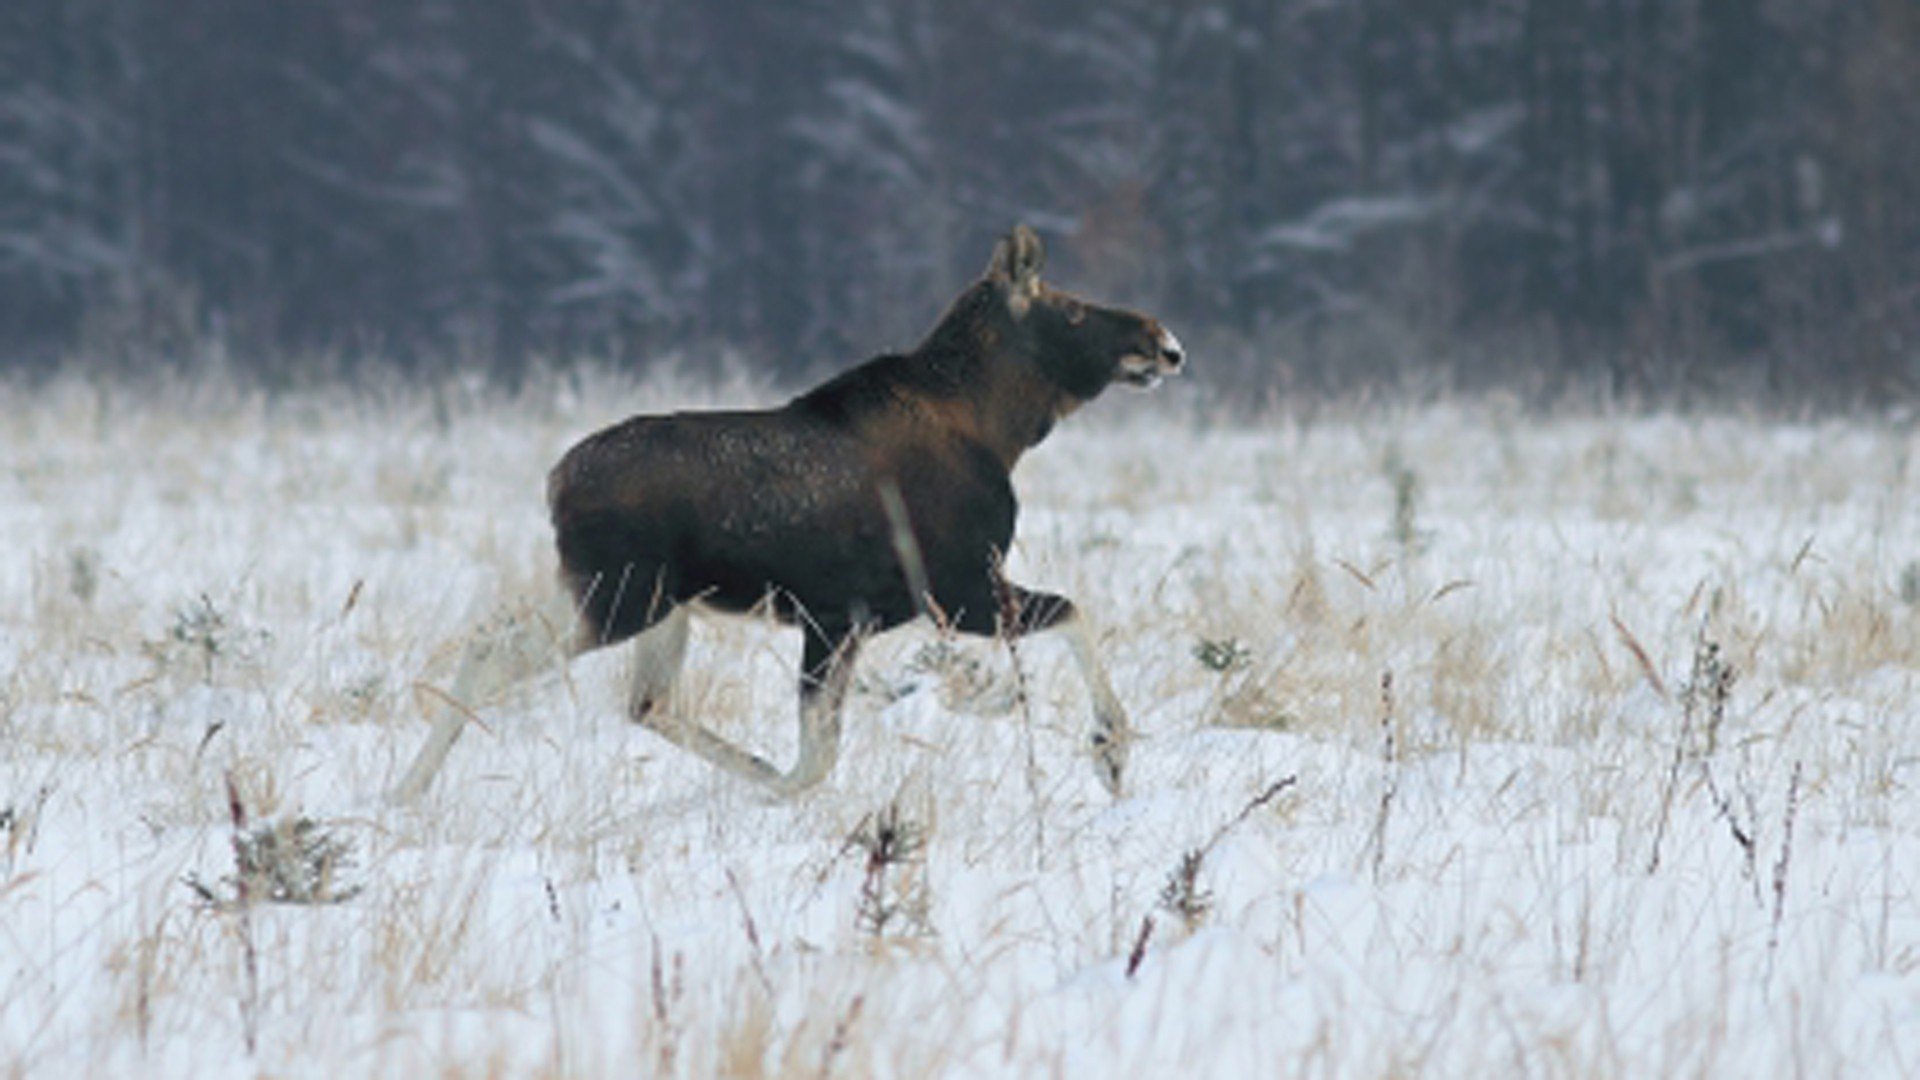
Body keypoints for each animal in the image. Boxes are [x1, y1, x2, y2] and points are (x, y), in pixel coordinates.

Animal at [389, 224, 1182, 799]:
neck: (1001, 431)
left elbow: (818, 753)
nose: (1164, 343)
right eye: (1071, 308)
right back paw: (407, 788)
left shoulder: (842, 619)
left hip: (654, 605)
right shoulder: (951, 591)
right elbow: (1073, 615)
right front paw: (1110, 749)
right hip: (619, 597)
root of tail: (554, 482)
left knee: (641, 700)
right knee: (496, 653)